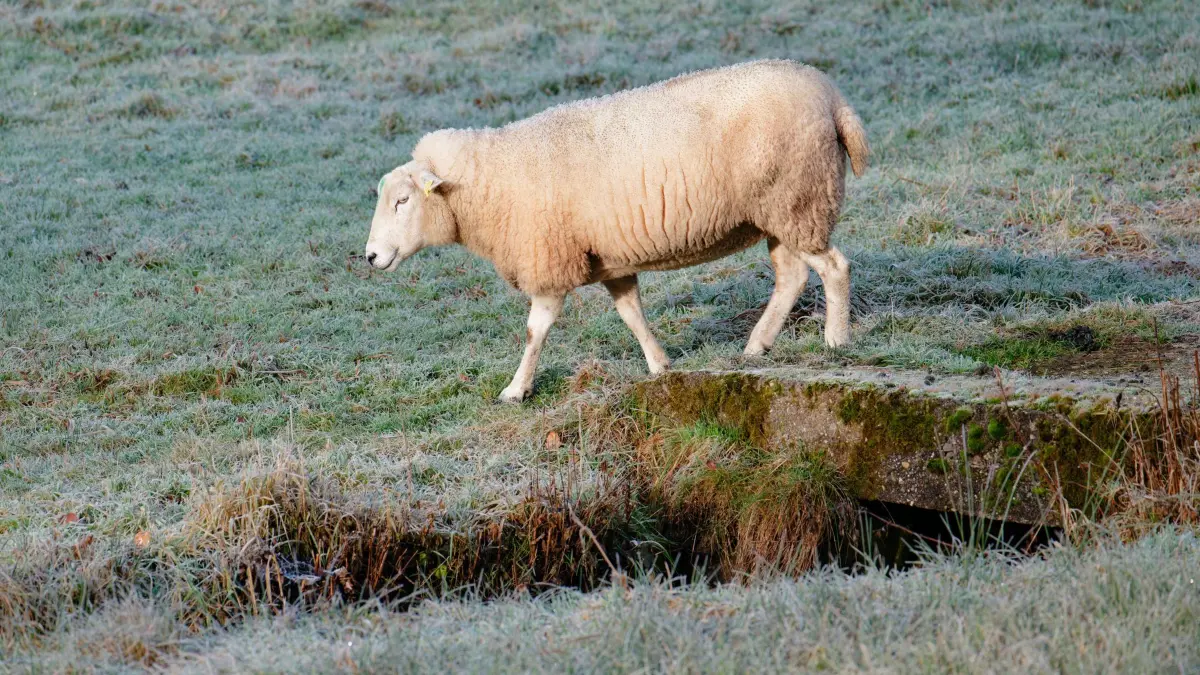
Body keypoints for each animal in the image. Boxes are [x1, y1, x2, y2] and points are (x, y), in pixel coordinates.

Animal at [365, 59, 868, 403]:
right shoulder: (609, 259)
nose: (369, 256)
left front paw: (516, 389)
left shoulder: (549, 260)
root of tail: (833, 96)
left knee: (834, 267)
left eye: (403, 201)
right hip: (781, 212)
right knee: (792, 277)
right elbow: (632, 315)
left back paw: (836, 339)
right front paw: (660, 365)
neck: (490, 181)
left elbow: (534, 331)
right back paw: (755, 347)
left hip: (799, 198)